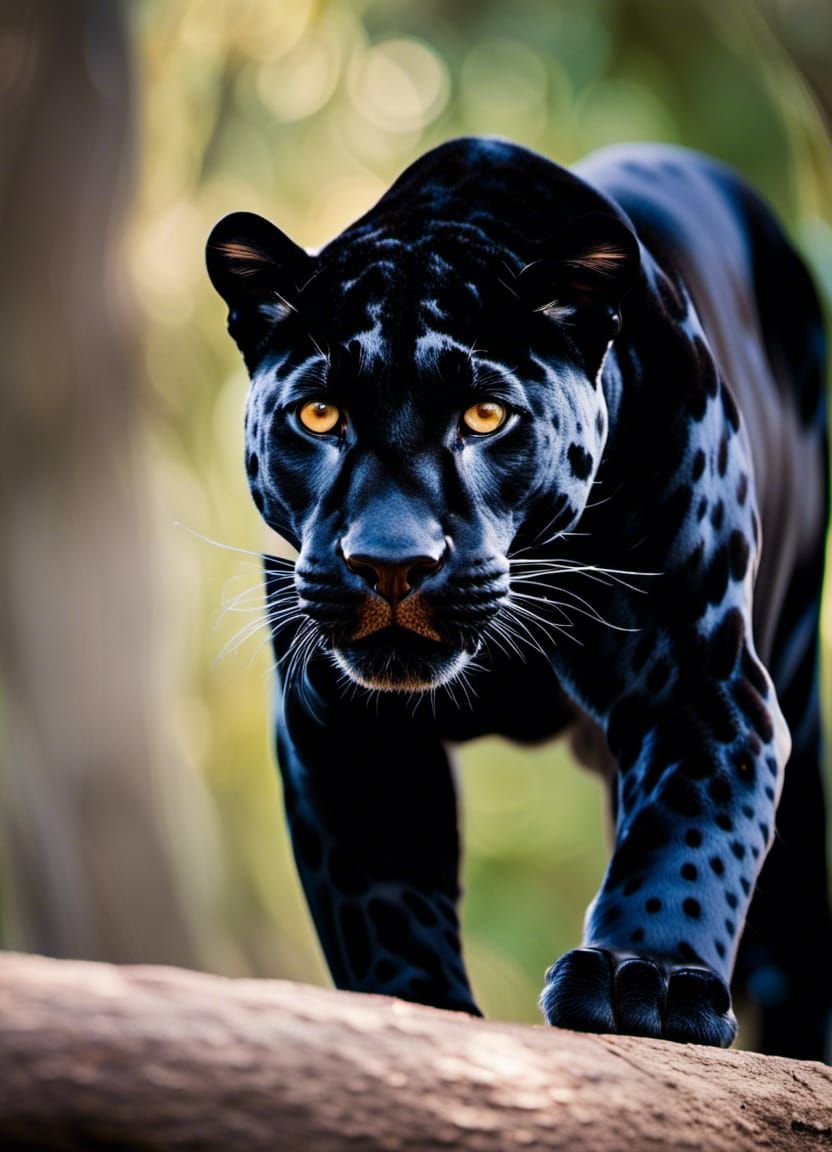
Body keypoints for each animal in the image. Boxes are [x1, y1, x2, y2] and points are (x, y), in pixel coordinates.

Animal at [206, 137, 832, 1058]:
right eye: (319, 415)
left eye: (485, 416)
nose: (391, 561)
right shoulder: (334, 708)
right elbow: (381, 884)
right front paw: (413, 1002)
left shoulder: (704, 676)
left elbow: (687, 833)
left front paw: (644, 980)